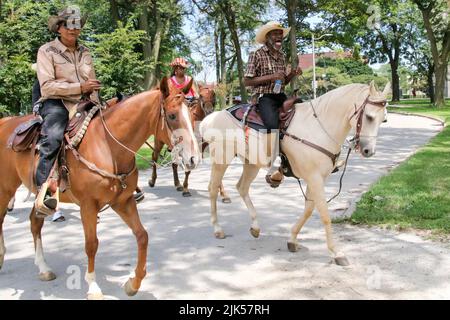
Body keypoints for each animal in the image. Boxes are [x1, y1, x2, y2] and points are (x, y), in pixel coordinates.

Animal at [0, 76, 200, 298]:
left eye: (192, 116)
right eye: (172, 116)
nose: (194, 159)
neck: (108, 147)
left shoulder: (123, 202)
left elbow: (142, 236)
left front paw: (133, 283)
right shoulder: (88, 205)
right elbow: (92, 244)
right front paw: (93, 286)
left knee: (35, 222)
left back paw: (44, 268)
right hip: (5, 189)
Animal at [200, 82, 390, 264]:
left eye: (384, 119)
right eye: (369, 117)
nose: (368, 151)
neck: (318, 128)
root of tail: (211, 118)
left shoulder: (317, 178)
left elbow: (309, 209)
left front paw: (292, 240)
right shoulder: (314, 178)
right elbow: (324, 214)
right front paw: (337, 253)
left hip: (251, 163)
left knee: (242, 187)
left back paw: (255, 227)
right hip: (221, 158)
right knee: (213, 188)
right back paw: (218, 229)